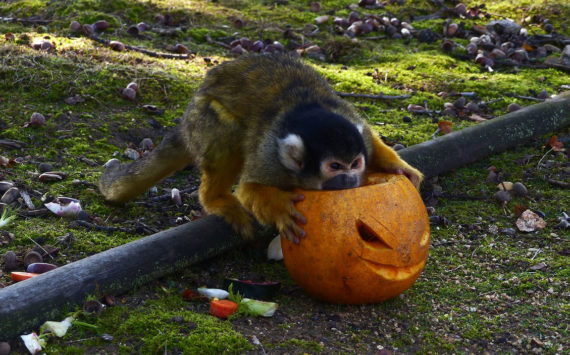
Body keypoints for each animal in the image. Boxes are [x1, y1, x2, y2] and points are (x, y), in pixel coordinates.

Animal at [97, 54, 420, 243]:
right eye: (335, 167)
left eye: (355, 164)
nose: (351, 180)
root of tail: (187, 116)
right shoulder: (270, 158)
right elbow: (250, 189)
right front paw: (280, 208)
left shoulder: (355, 127)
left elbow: (370, 138)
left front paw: (398, 167)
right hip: (203, 117)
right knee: (227, 131)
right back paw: (215, 199)